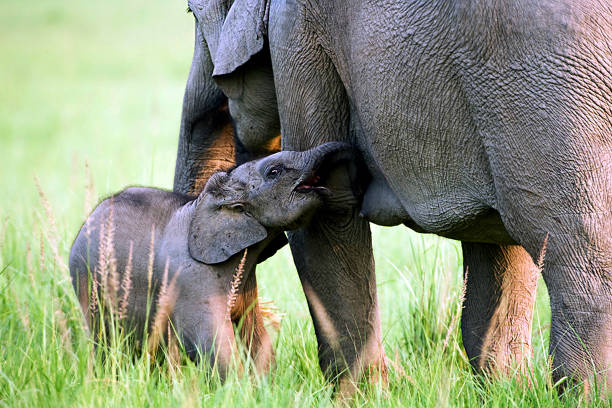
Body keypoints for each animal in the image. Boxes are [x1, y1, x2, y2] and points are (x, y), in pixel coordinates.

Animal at [68, 143, 354, 376]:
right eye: (274, 171)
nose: (349, 148)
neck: (205, 203)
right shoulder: (192, 280)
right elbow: (211, 343)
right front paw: (238, 391)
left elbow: (254, 333)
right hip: (90, 287)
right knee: (107, 343)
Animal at [175, 0, 608, 392]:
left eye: (190, 14)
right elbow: (495, 251)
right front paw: (504, 391)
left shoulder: (296, 32)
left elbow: (326, 224)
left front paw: (363, 395)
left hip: (542, 75)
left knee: (572, 247)